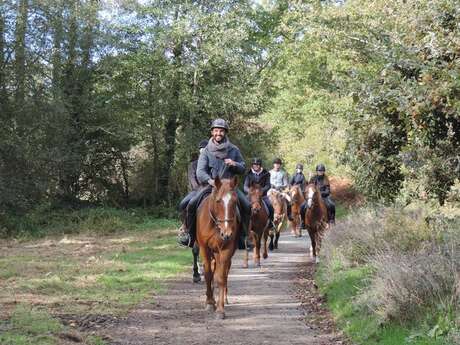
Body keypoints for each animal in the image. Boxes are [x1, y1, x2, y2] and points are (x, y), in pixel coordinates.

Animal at [196, 176, 243, 318]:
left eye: (235, 201)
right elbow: (208, 274)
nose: (227, 233)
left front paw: (220, 309)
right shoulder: (204, 249)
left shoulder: (225, 250)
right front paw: (210, 303)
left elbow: (221, 277)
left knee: (223, 273)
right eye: (218, 201)